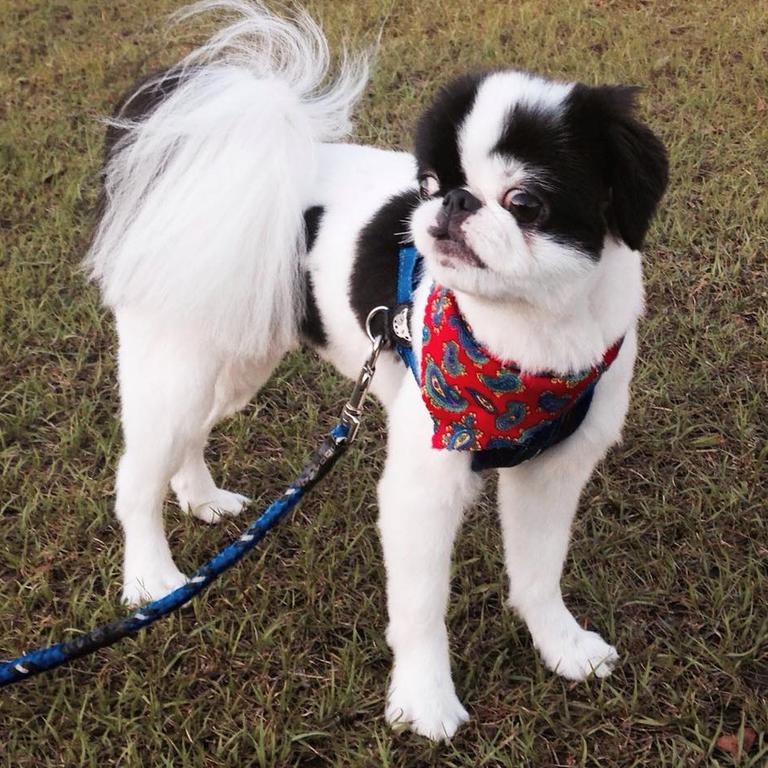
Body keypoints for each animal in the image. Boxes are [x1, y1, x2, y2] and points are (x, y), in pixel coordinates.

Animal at [88, 1, 664, 744]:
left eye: (525, 202)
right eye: (430, 185)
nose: (453, 204)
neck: (526, 341)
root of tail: (191, 154)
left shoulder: (554, 470)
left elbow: (538, 573)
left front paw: (560, 645)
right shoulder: (425, 483)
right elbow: (420, 608)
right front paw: (424, 700)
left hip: (237, 352)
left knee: (189, 437)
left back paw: (200, 498)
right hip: (177, 362)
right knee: (136, 476)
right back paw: (151, 580)